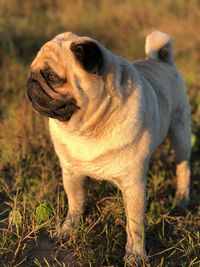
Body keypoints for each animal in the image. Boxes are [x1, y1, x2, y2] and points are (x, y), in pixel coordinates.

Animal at [26, 30, 191, 264]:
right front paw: (67, 230)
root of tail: (161, 60)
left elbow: (135, 225)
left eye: (52, 77)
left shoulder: (133, 186)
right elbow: (75, 204)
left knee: (183, 166)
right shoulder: (71, 174)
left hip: (180, 134)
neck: (88, 127)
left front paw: (135, 255)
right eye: (33, 71)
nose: (31, 81)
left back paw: (182, 198)